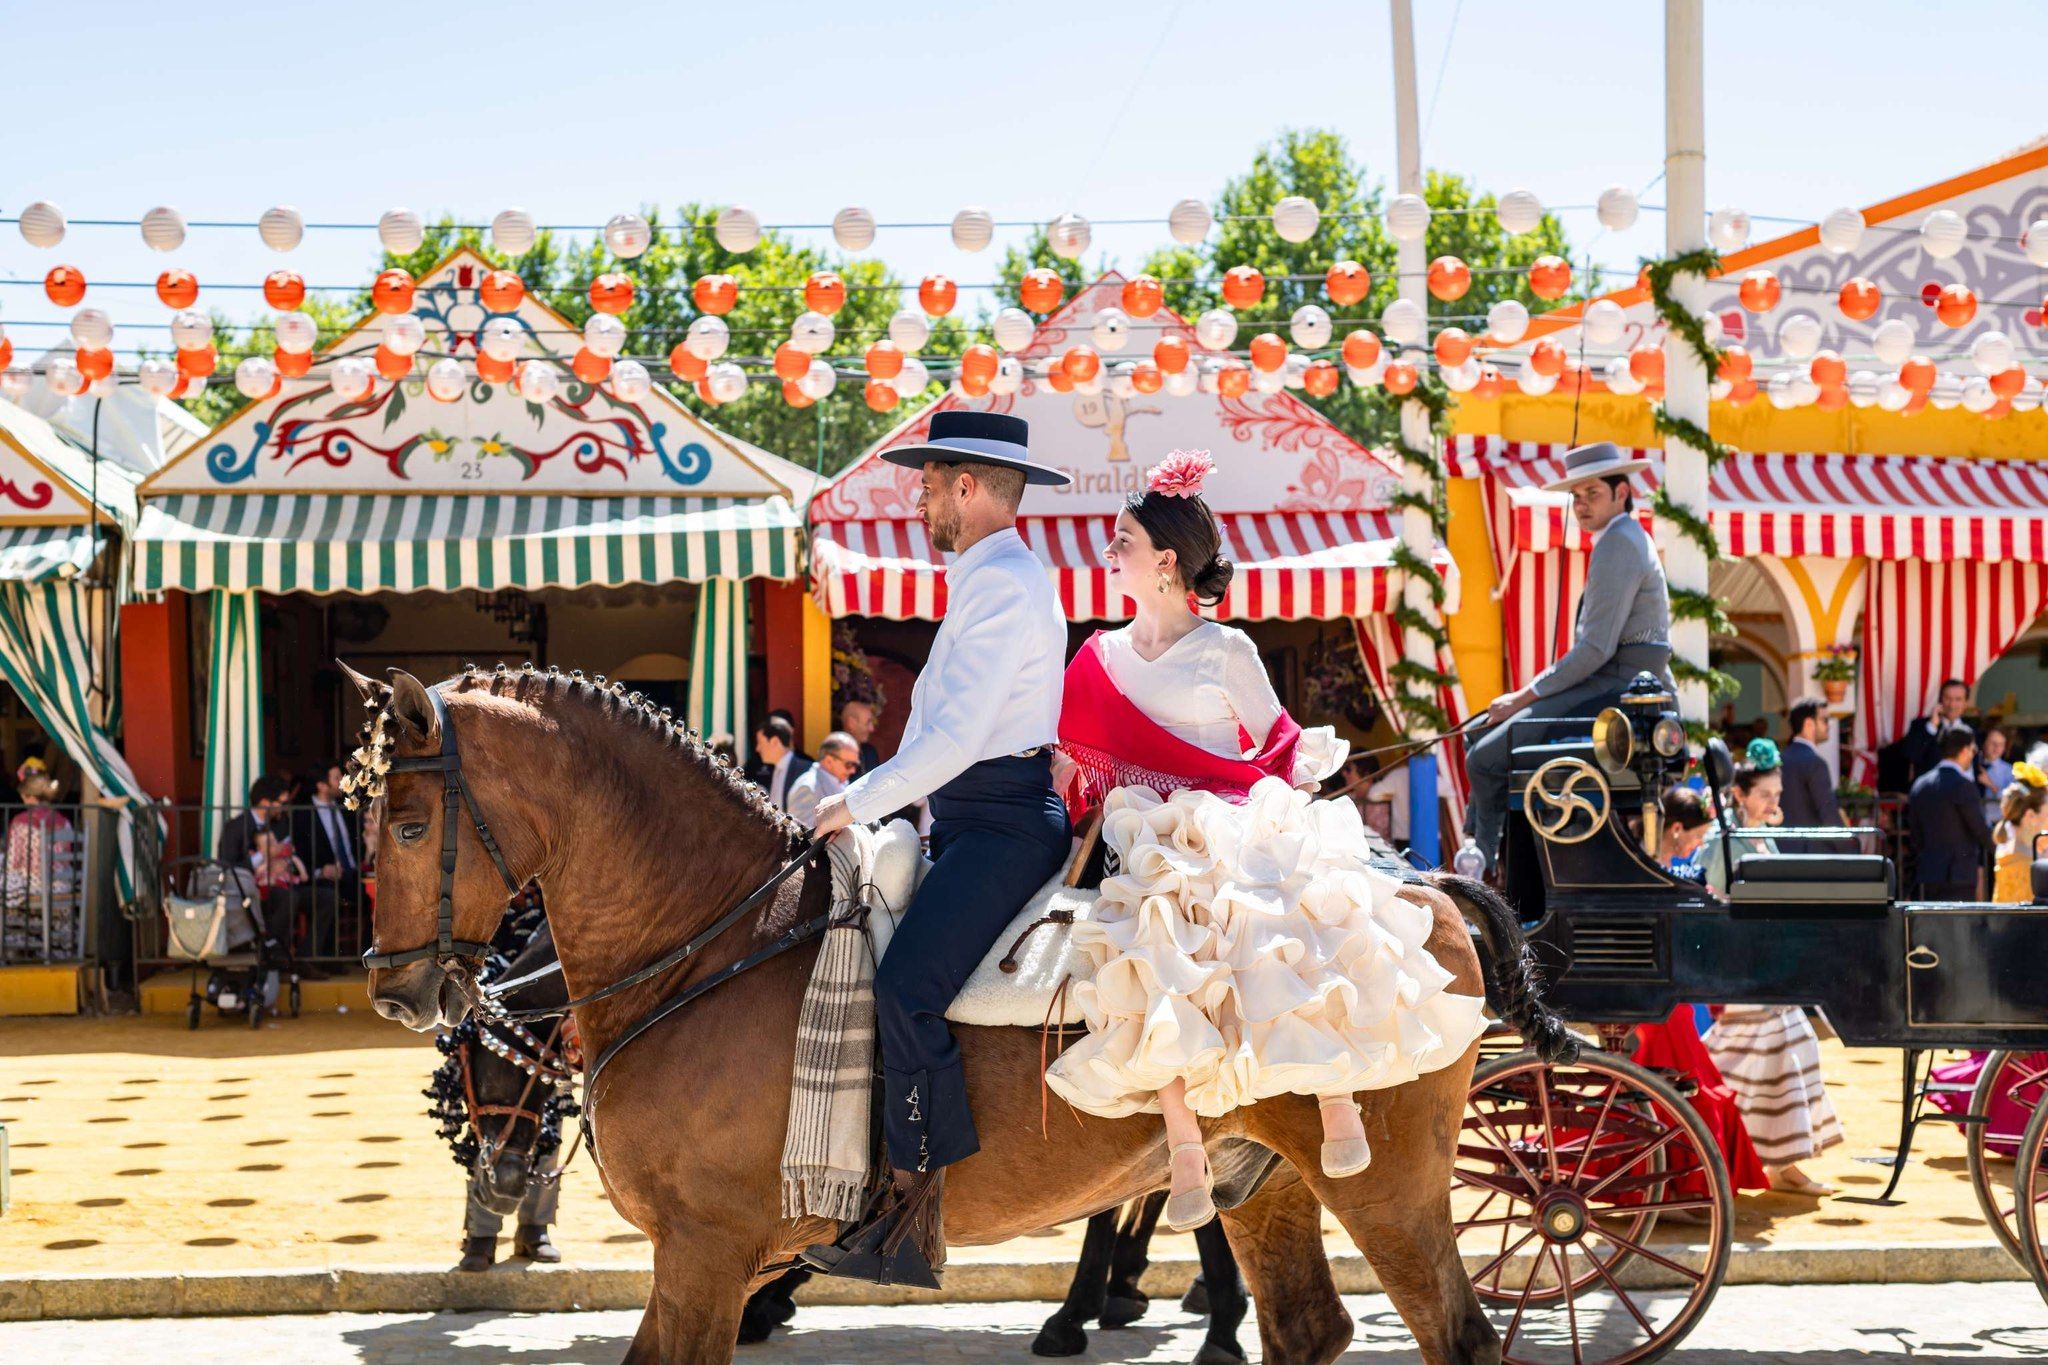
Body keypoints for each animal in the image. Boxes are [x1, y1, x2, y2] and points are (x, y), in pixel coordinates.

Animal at [348, 664, 1575, 1365]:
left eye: (406, 825)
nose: (396, 989)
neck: (712, 939)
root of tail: (1421, 881)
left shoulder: (704, 1251)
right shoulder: (705, 1258)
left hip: (1387, 1183)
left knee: (1457, 1338)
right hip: (1262, 1177)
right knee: (1307, 1328)